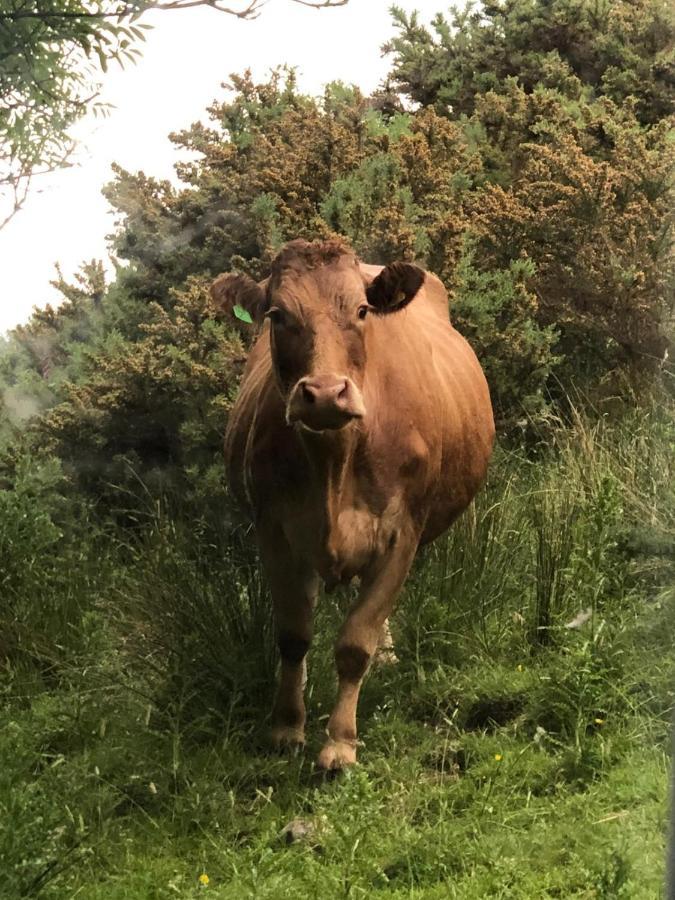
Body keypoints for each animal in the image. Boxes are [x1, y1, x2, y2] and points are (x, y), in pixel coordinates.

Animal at [213, 241, 496, 772]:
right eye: (277, 315)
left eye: (362, 311)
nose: (325, 393)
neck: (334, 463)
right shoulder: (275, 532)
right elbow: (293, 635)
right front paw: (287, 726)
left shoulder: (402, 533)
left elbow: (355, 642)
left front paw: (340, 743)